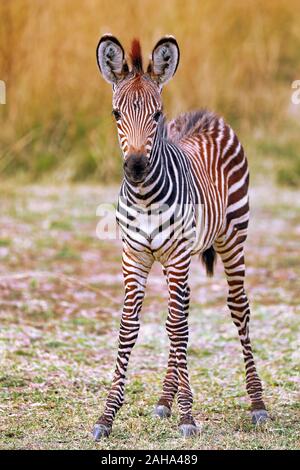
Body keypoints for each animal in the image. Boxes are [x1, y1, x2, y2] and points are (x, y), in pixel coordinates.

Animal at [92, 35, 268, 438]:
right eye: (116, 115)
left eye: (157, 115)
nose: (136, 167)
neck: (144, 197)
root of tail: (207, 115)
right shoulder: (134, 258)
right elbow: (131, 328)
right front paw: (107, 417)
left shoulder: (175, 258)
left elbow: (177, 329)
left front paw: (188, 415)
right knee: (180, 315)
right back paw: (164, 400)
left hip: (232, 239)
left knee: (237, 309)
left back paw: (258, 405)